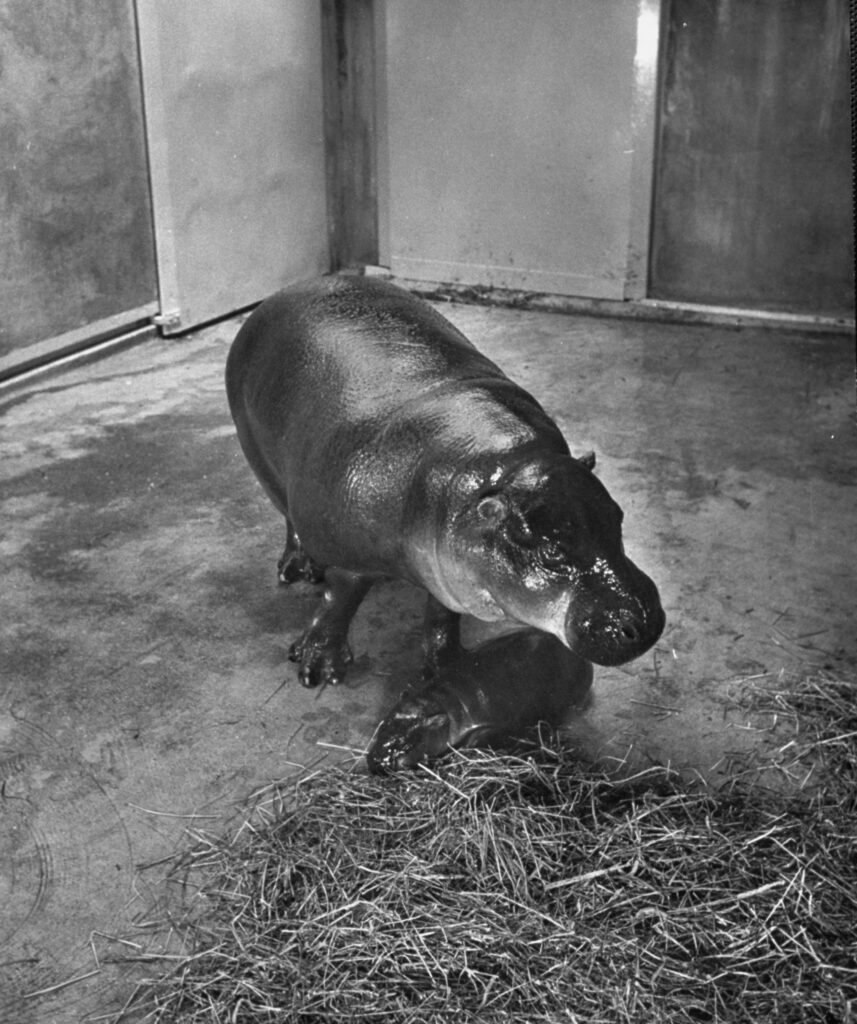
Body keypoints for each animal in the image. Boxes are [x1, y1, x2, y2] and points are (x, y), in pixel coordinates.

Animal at [225, 275, 664, 688]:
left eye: (617, 519)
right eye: (552, 551)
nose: (643, 621)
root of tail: (287, 291)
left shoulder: (448, 569)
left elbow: (441, 617)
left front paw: (449, 665)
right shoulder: (351, 556)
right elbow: (340, 598)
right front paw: (317, 669)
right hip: (260, 458)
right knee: (287, 515)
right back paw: (298, 569)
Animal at [366, 629, 593, 773]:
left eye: (405, 742)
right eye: (382, 726)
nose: (375, 760)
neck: (440, 702)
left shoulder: (487, 724)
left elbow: (473, 741)